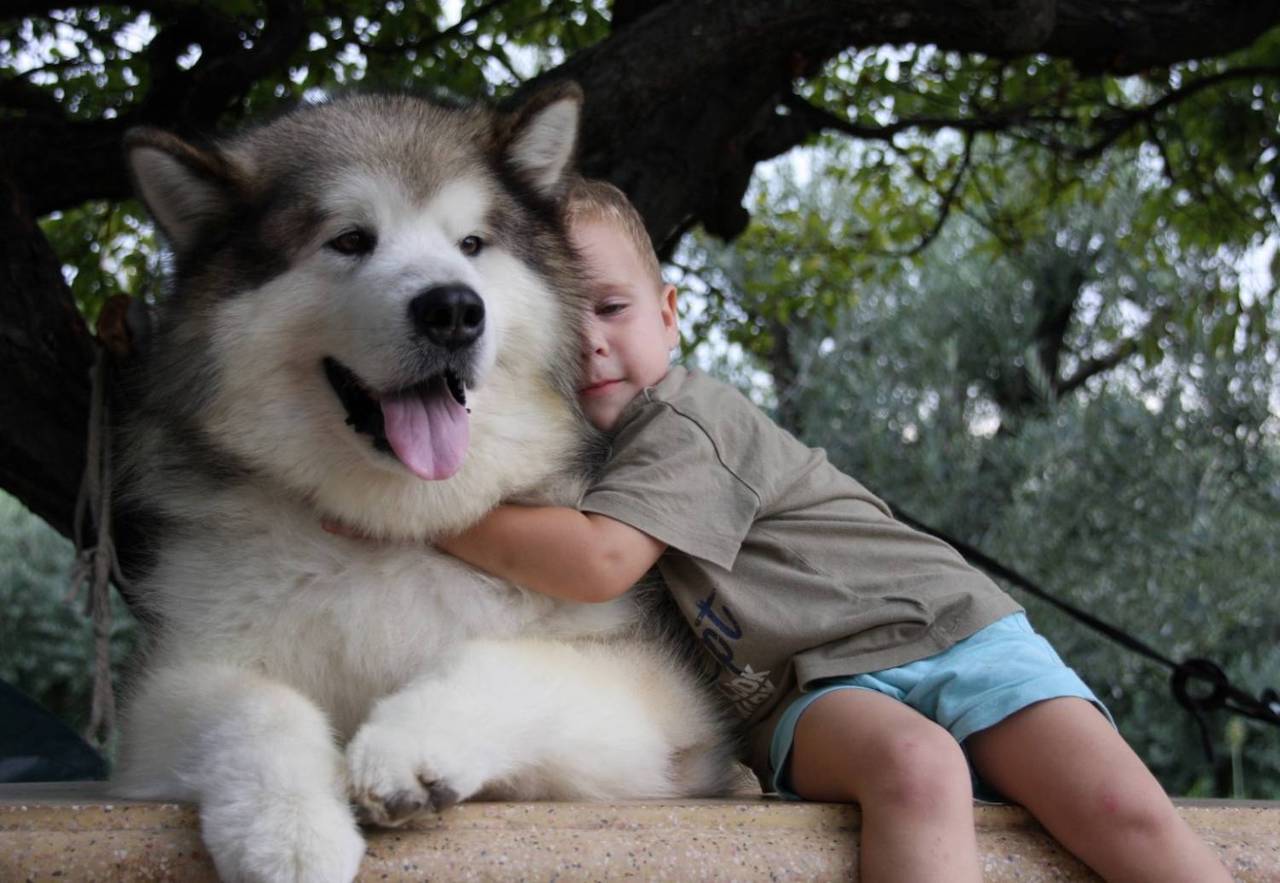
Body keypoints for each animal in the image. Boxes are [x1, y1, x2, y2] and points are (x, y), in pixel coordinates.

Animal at [110, 84, 742, 880]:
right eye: (350, 239)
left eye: (471, 244)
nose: (453, 309)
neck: (391, 528)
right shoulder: (164, 697)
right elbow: (254, 704)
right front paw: (290, 831)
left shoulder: (667, 715)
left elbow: (509, 659)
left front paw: (407, 743)